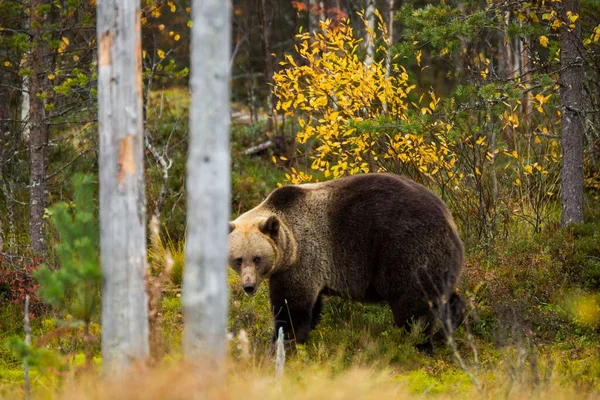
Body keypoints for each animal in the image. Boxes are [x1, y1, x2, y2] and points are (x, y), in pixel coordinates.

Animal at [227, 173, 466, 354]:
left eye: (257, 258)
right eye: (238, 260)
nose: (248, 287)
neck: (290, 248)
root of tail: (450, 219)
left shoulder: (302, 260)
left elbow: (291, 308)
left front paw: (284, 342)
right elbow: (312, 306)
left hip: (408, 251)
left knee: (414, 305)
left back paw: (419, 343)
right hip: (438, 260)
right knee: (441, 294)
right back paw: (448, 327)